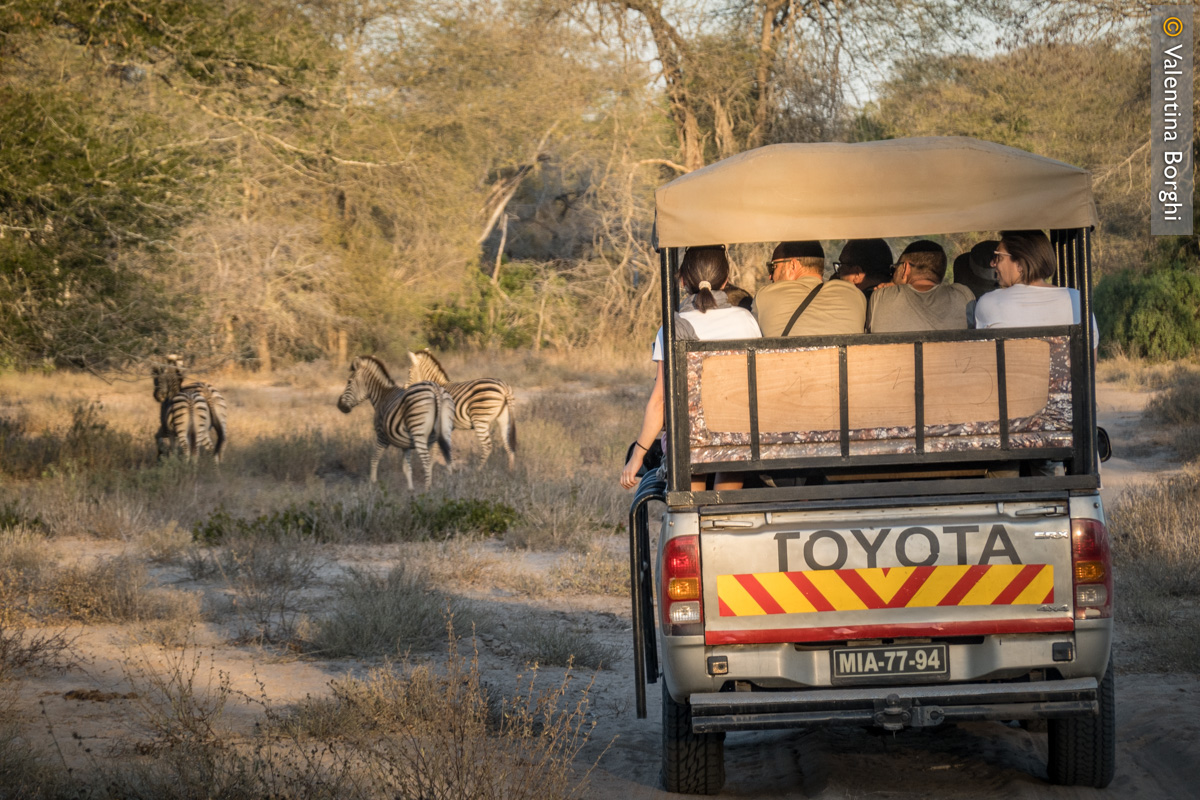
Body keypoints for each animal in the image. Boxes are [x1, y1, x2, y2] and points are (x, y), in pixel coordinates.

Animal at [338, 355, 453, 491]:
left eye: (349, 382)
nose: (339, 406)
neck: (382, 395)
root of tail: (436, 389)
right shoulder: (405, 444)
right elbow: (407, 468)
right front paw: (410, 489)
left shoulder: (382, 436)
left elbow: (374, 458)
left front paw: (373, 483)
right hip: (444, 432)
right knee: (446, 458)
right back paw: (450, 485)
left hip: (419, 433)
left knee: (426, 461)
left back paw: (427, 490)